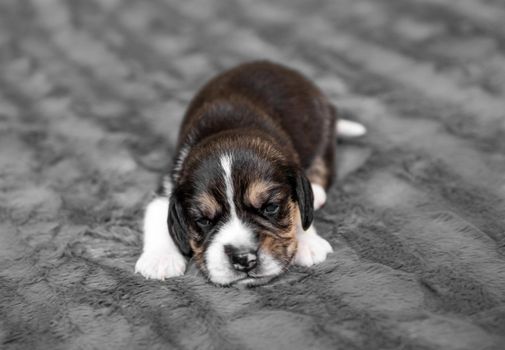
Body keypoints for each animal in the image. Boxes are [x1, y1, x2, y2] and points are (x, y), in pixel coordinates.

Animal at [134, 60, 362, 286]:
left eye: (270, 207)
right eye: (204, 220)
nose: (243, 258)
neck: (228, 129)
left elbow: (299, 209)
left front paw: (308, 242)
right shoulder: (170, 183)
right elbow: (157, 214)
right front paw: (160, 259)